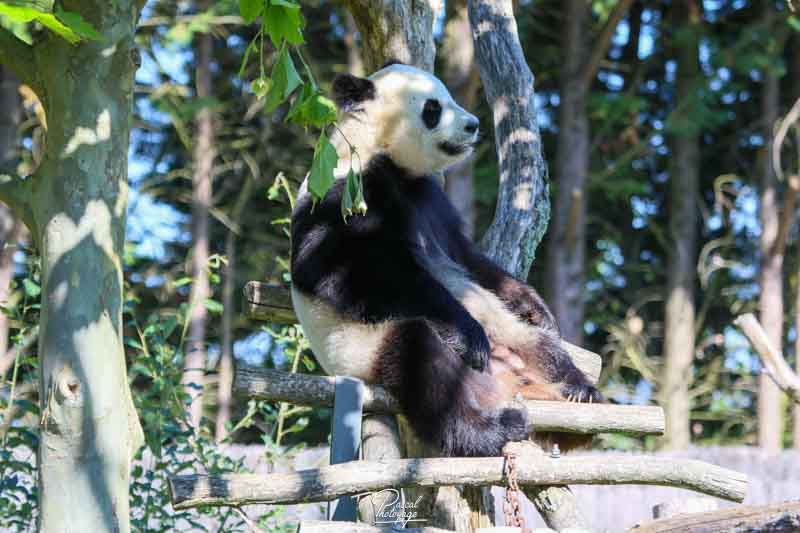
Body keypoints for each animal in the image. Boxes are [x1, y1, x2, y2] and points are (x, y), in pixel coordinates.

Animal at [288, 60, 600, 456]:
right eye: (433, 108)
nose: (473, 124)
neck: (384, 153)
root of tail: (507, 382)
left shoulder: (432, 202)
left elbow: (469, 259)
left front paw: (536, 307)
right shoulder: (343, 193)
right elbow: (343, 268)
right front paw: (470, 336)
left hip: (513, 336)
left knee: (542, 346)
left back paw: (580, 393)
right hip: (364, 347)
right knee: (423, 361)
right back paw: (490, 429)